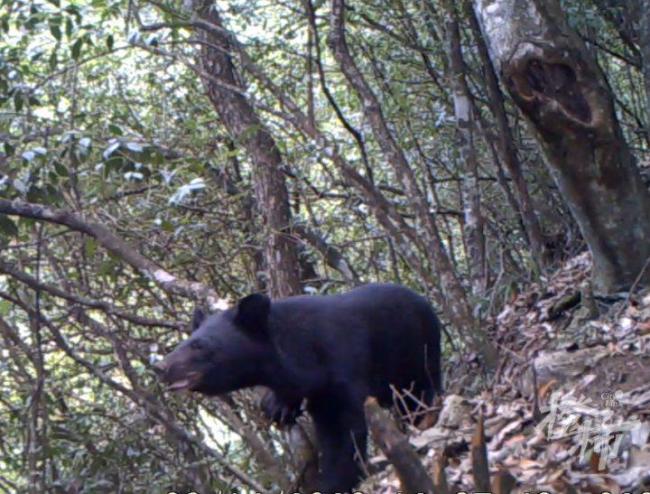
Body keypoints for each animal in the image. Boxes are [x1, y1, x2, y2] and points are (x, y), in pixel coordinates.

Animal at [156, 284, 440, 492]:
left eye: (199, 345)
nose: (161, 367)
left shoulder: (342, 370)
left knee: (420, 398)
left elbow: (344, 432)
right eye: (187, 341)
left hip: (419, 358)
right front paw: (278, 406)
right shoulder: (314, 386)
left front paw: (335, 482)